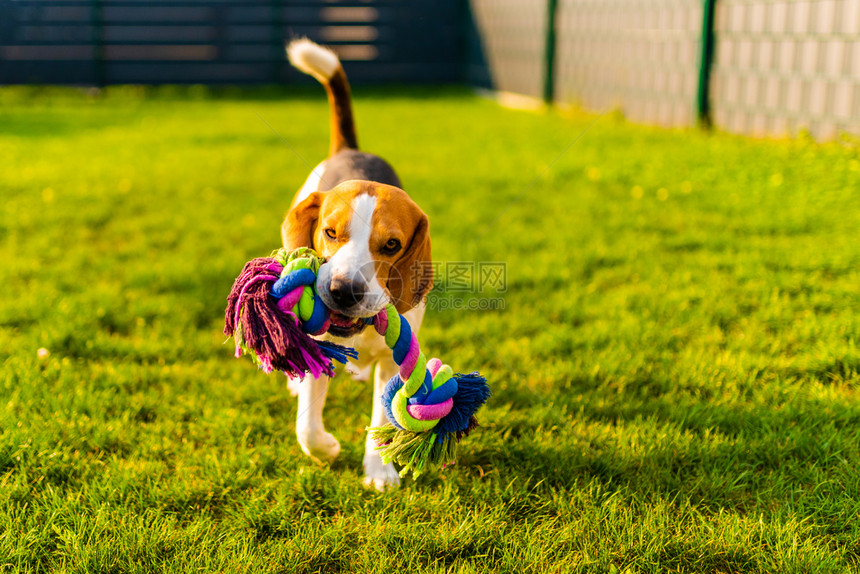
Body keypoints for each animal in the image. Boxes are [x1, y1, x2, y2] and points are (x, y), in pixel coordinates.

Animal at [282, 40, 434, 490]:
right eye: (330, 232)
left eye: (392, 244)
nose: (343, 291)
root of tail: (351, 149)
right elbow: (307, 427)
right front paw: (327, 449)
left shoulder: (394, 360)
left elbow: (382, 417)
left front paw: (379, 470)